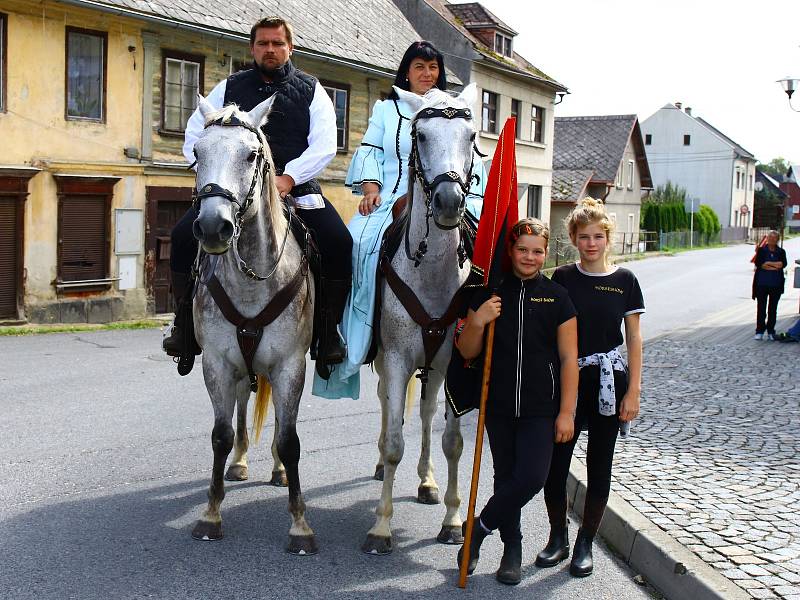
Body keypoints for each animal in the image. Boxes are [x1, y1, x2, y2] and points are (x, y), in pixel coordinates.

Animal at [191, 96, 318, 556]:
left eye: (251, 155)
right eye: (197, 153)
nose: (214, 227)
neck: (251, 282)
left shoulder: (289, 366)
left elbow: (290, 439)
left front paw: (299, 524)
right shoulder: (217, 364)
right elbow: (221, 434)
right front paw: (211, 514)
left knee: (280, 423)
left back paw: (278, 470)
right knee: (244, 410)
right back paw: (242, 462)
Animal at [362, 83, 482, 552]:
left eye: (471, 135)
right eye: (422, 135)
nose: (450, 202)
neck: (430, 273)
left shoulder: (454, 363)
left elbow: (452, 441)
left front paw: (452, 520)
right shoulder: (395, 360)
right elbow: (396, 440)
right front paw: (381, 526)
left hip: (433, 368)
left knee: (428, 415)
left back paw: (428, 482)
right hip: (386, 363)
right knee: (385, 406)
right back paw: (381, 463)